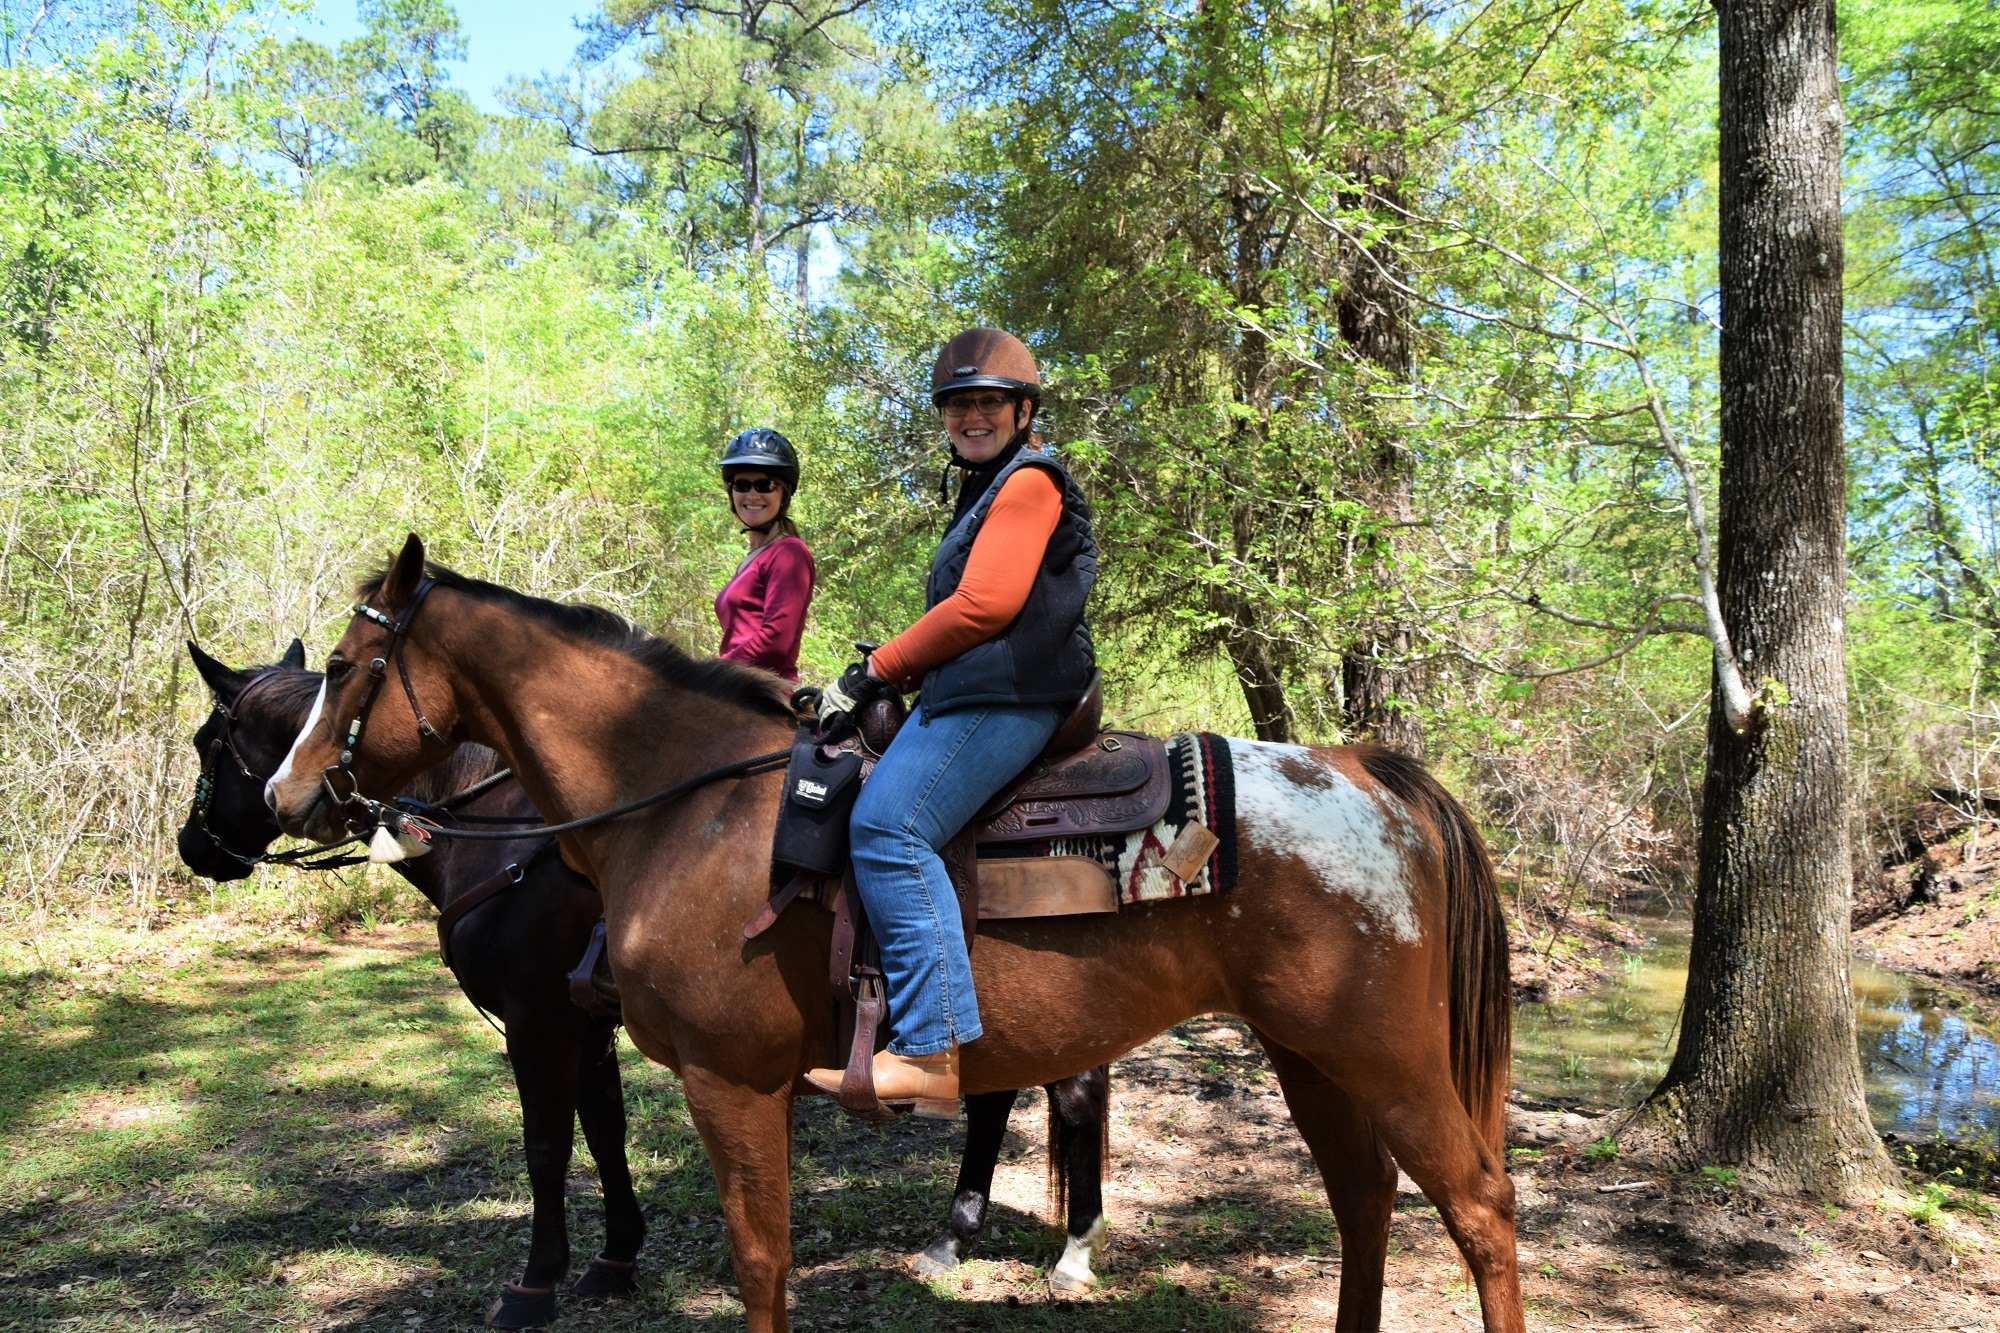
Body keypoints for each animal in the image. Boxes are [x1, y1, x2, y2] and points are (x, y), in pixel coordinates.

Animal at [181, 643, 1118, 1308]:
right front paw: (616, 1255)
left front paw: (539, 1278)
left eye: (208, 741)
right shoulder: (586, 1022)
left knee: (1071, 1099)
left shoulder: (537, 1021)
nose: (194, 847)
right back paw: (957, 1234)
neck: (510, 831)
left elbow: (548, 1143)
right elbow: (605, 1132)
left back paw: (1072, 1252)